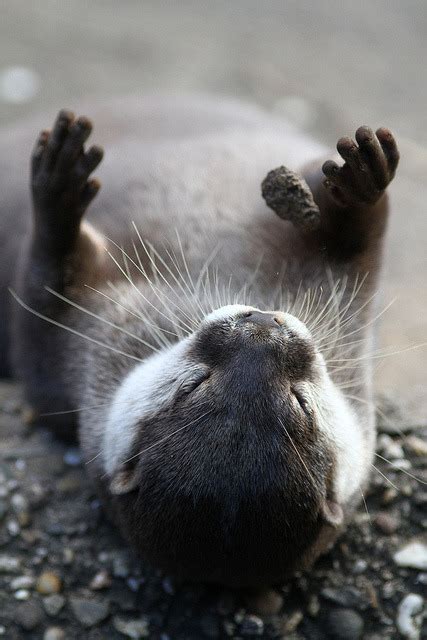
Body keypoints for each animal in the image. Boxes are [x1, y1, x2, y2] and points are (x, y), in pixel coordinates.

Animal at [0, 92, 402, 588]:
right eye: (193, 384)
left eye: (301, 403)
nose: (263, 327)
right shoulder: (72, 349)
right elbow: (46, 282)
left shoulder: (348, 319)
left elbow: (358, 243)